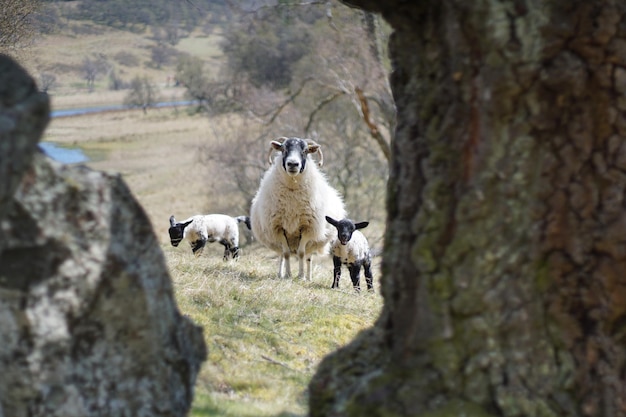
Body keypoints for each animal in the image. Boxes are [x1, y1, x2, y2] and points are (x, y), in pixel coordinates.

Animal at [250, 136, 346, 280]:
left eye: (305, 150)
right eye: (283, 149)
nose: (293, 164)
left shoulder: (307, 228)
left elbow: (301, 253)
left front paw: (301, 276)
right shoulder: (278, 228)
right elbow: (286, 254)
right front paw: (288, 275)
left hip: (313, 241)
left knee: (308, 257)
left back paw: (308, 277)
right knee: (281, 255)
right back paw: (280, 274)